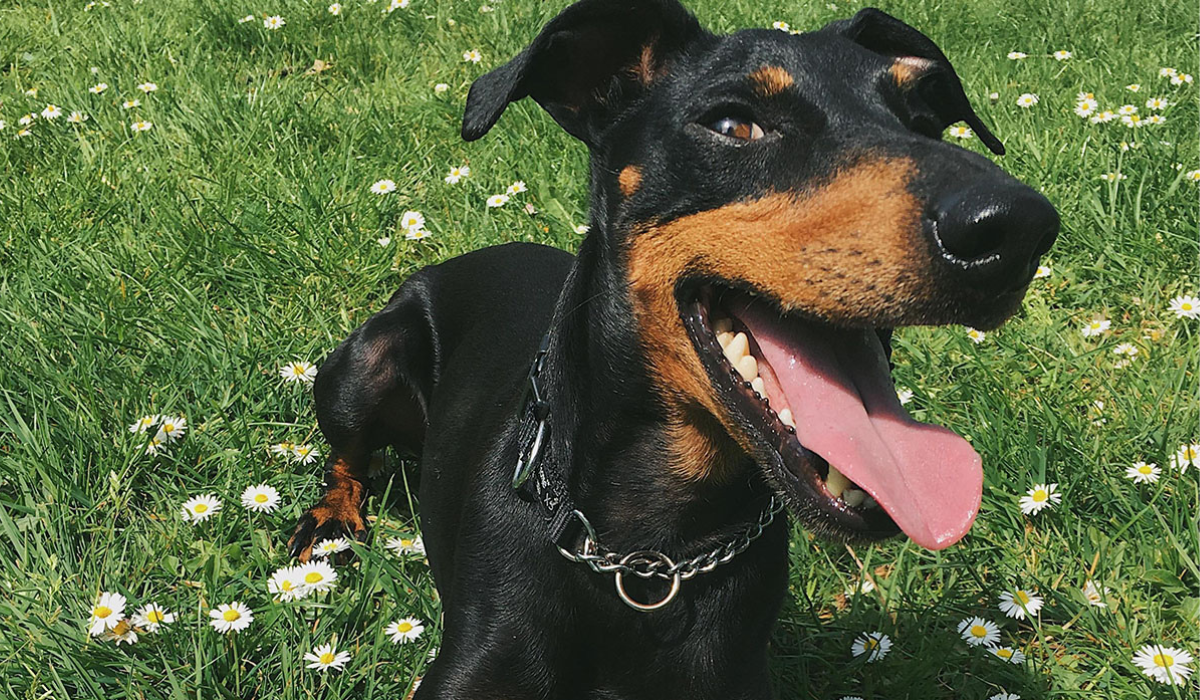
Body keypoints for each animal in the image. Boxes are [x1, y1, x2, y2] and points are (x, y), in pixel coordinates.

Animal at [290, 2, 1060, 696]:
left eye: (926, 117)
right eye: (732, 124)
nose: (1017, 230)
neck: (651, 553)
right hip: (363, 363)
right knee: (347, 455)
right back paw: (331, 523)